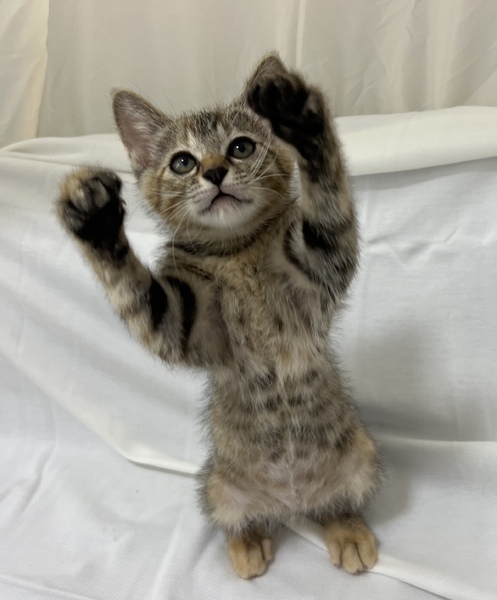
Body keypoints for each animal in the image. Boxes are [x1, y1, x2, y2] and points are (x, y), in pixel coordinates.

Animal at [56, 53, 381, 579]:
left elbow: (329, 202)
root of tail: (291, 503)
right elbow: (136, 292)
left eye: (241, 147)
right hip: (216, 486)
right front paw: (97, 221)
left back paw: (348, 530)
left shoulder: (321, 262)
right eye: (183, 162)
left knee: (336, 505)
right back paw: (248, 543)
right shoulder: (182, 322)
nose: (214, 172)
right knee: (242, 517)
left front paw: (300, 119)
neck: (234, 252)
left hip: (363, 457)